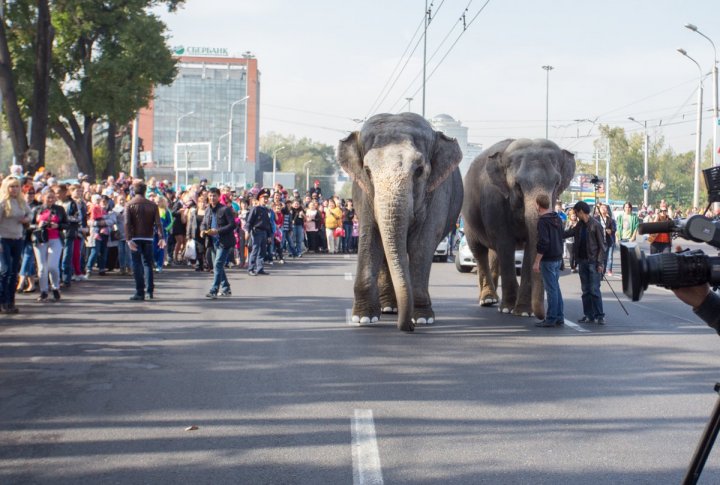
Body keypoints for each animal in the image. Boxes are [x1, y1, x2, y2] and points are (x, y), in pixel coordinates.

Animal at [338, 112, 464, 330]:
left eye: (419, 170)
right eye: (367, 171)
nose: (408, 328)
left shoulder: (438, 192)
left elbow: (423, 243)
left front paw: (421, 318)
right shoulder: (364, 192)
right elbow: (370, 235)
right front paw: (363, 318)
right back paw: (389, 308)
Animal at [464, 137, 576, 318]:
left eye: (557, 183)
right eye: (517, 185)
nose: (542, 316)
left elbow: (530, 246)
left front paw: (523, 312)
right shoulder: (495, 200)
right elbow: (505, 244)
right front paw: (508, 309)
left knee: (494, 253)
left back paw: (495, 299)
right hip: (468, 219)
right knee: (479, 251)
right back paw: (488, 300)